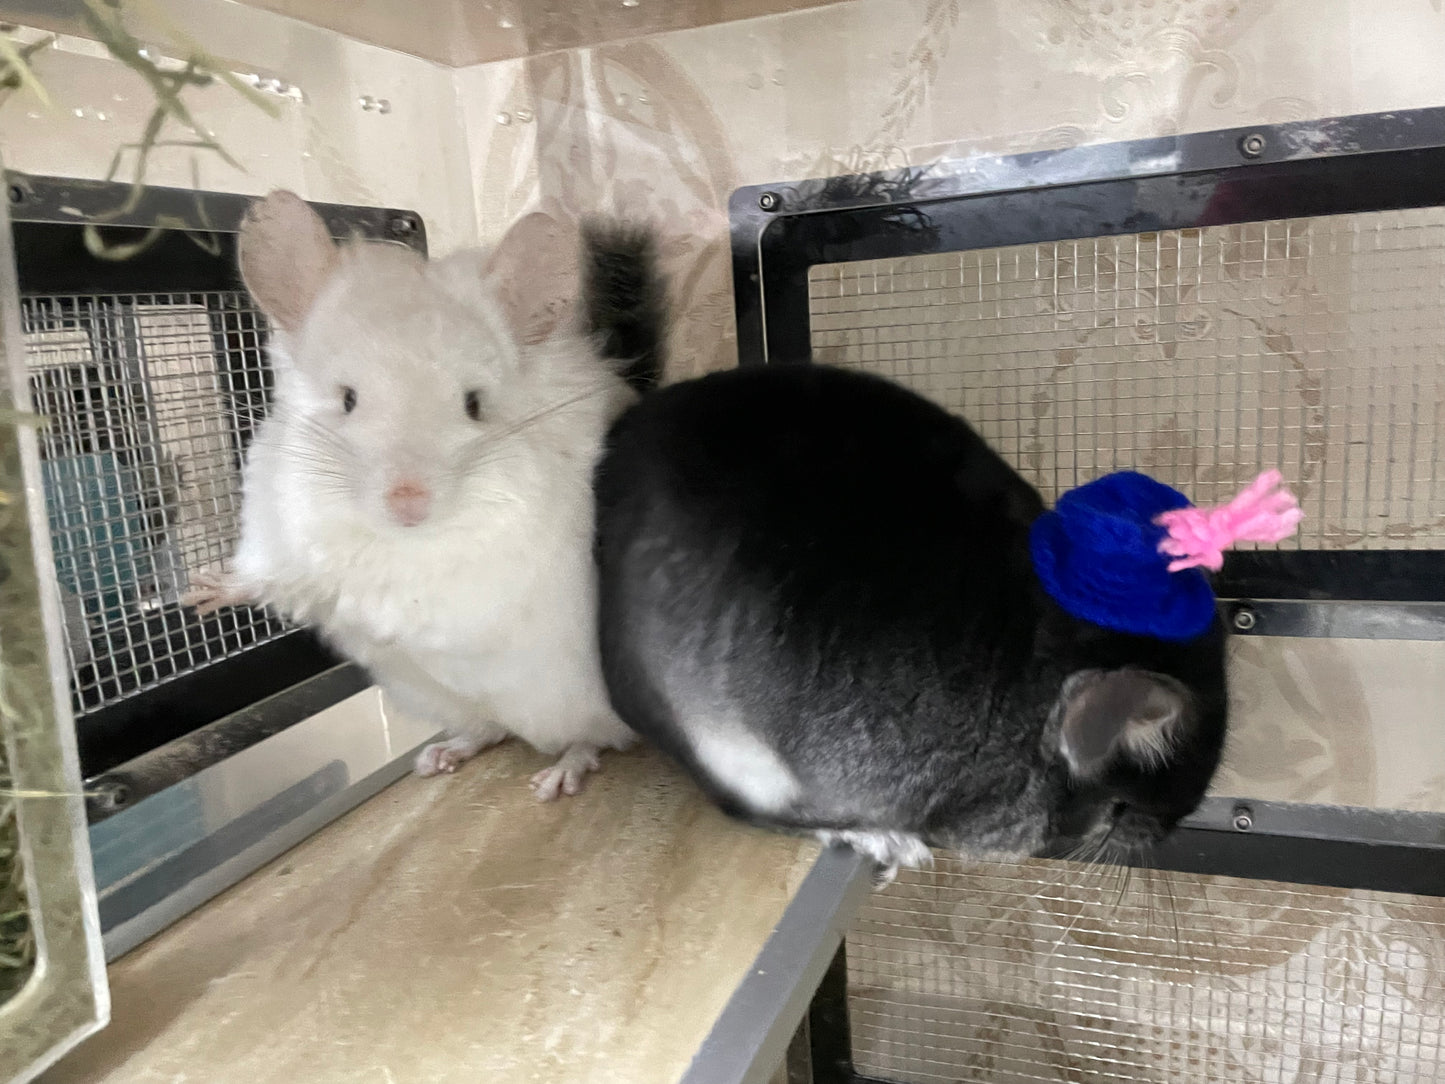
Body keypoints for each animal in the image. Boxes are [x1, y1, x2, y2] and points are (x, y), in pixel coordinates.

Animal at [188, 191, 665, 800]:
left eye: (474, 404)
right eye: (347, 399)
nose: (408, 504)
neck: (400, 540)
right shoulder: (276, 533)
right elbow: (268, 577)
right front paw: (202, 592)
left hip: (583, 700)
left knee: (591, 739)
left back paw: (556, 778)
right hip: (435, 697)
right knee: (488, 730)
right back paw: (441, 756)